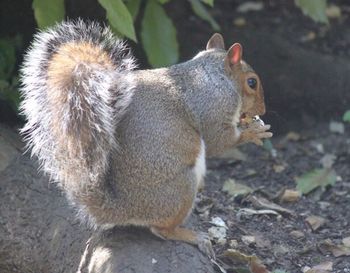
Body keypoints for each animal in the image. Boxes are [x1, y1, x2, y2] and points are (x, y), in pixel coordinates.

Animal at [19, 20, 274, 256]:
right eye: (252, 82)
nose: (263, 110)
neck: (214, 76)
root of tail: (123, 208)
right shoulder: (213, 107)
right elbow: (218, 141)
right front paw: (253, 132)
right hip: (182, 186)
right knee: (162, 230)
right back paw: (191, 235)